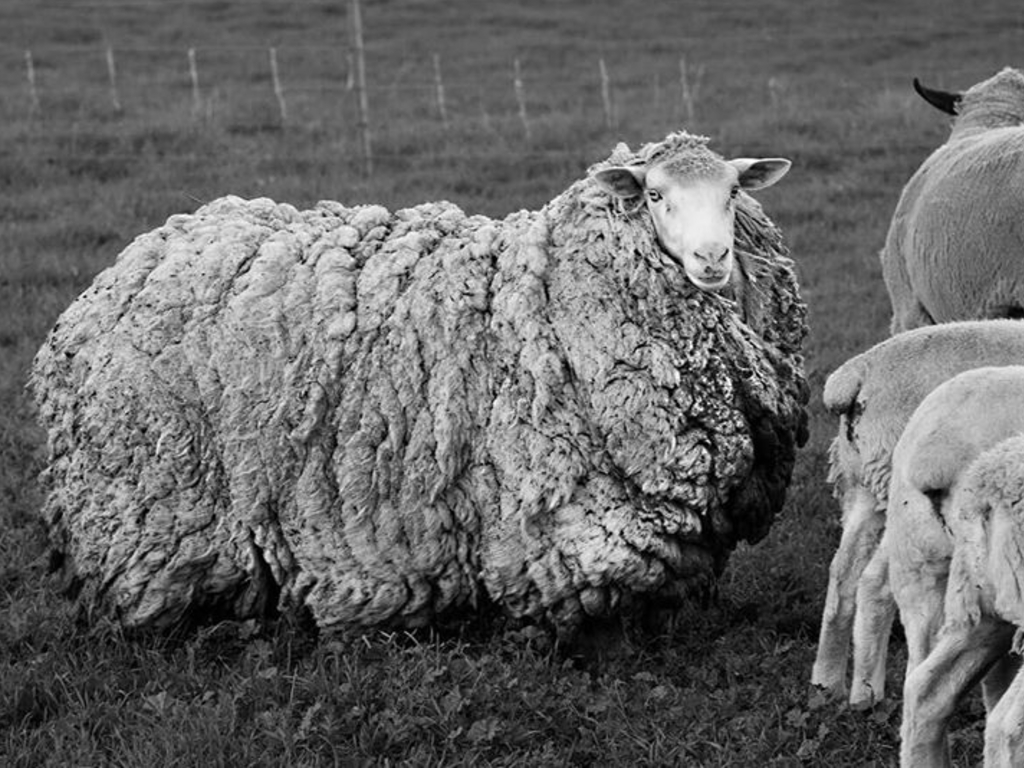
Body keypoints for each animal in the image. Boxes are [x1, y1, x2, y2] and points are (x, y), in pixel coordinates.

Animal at [30, 130, 809, 636]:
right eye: (652, 195)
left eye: (733, 191)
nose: (712, 260)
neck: (556, 293)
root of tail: (126, 268)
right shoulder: (551, 519)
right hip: (151, 509)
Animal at [811, 320, 1024, 707]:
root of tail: (856, 371)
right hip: (903, 503)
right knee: (877, 582)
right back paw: (868, 691)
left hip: (865, 488)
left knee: (844, 572)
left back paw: (830, 685)